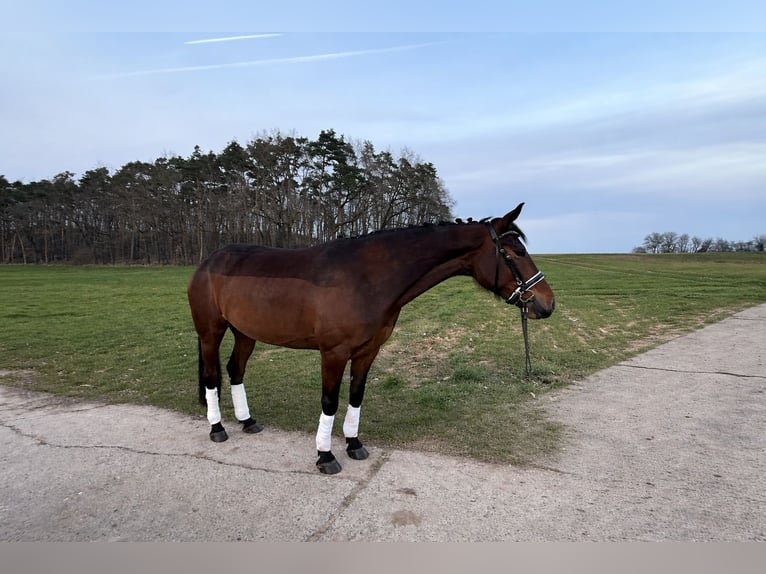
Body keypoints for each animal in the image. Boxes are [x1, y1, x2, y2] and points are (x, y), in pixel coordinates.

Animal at [187, 202, 555, 474]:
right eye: (516, 252)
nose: (547, 303)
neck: (367, 278)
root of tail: (208, 261)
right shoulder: (333, 353)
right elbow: (329, 401)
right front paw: (325, 456)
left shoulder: (368, 351)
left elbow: (356, 396)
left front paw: (353, 444)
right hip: (210, 332)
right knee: (212, 376)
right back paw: (217, 428)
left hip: (245, 333)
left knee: (235, 370)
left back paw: (247, 421)